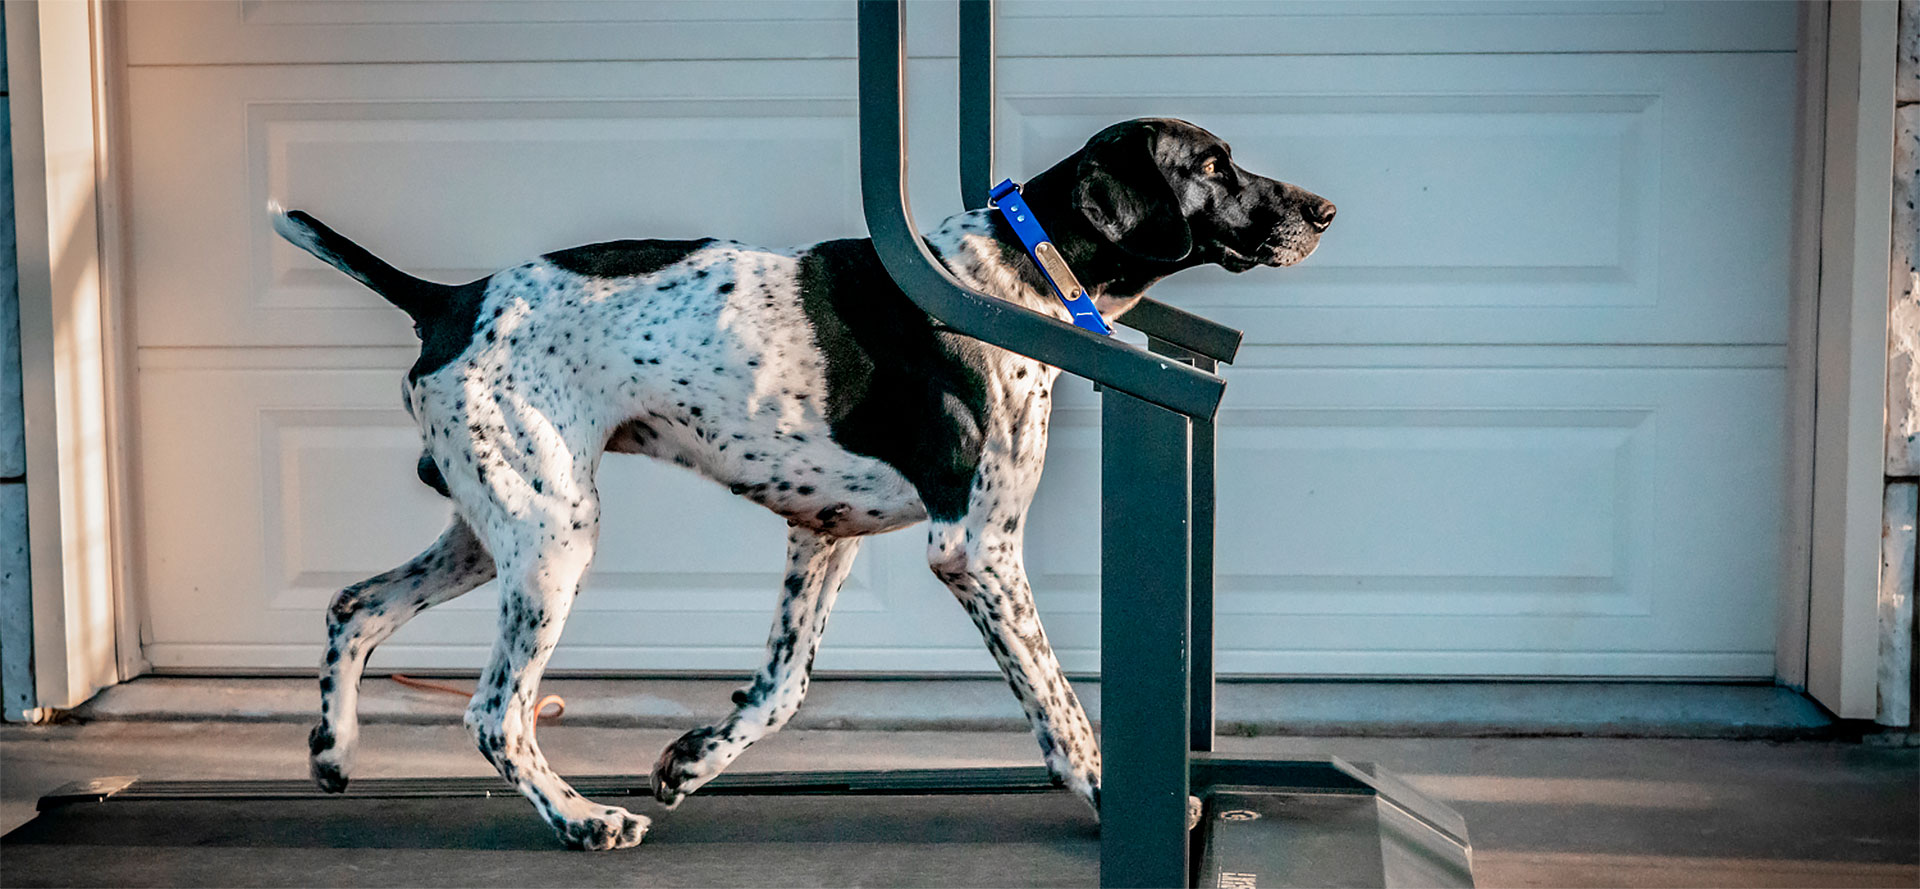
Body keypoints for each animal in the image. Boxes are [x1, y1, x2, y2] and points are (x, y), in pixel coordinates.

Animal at [274, 116, 1336, 848]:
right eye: (1212, 165)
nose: (1324, 211)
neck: (1011, 277)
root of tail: (450, 297)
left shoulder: (824, 534)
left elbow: (782, 688)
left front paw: (693, 760)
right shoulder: (977, 548)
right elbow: (1059, 704)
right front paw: (1114, 794)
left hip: (493, 523)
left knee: (353, 606)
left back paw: (333, 752)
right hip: (550, 539)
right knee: (495, 711)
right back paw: (582, 819)